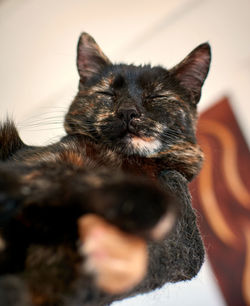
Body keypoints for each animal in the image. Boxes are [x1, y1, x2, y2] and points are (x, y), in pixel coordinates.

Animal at [0, 33, 211, 306]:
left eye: (156, 97)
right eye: (107, 92)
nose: (127, 111)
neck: (122, 163)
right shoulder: (34, 163)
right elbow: (64, 176)